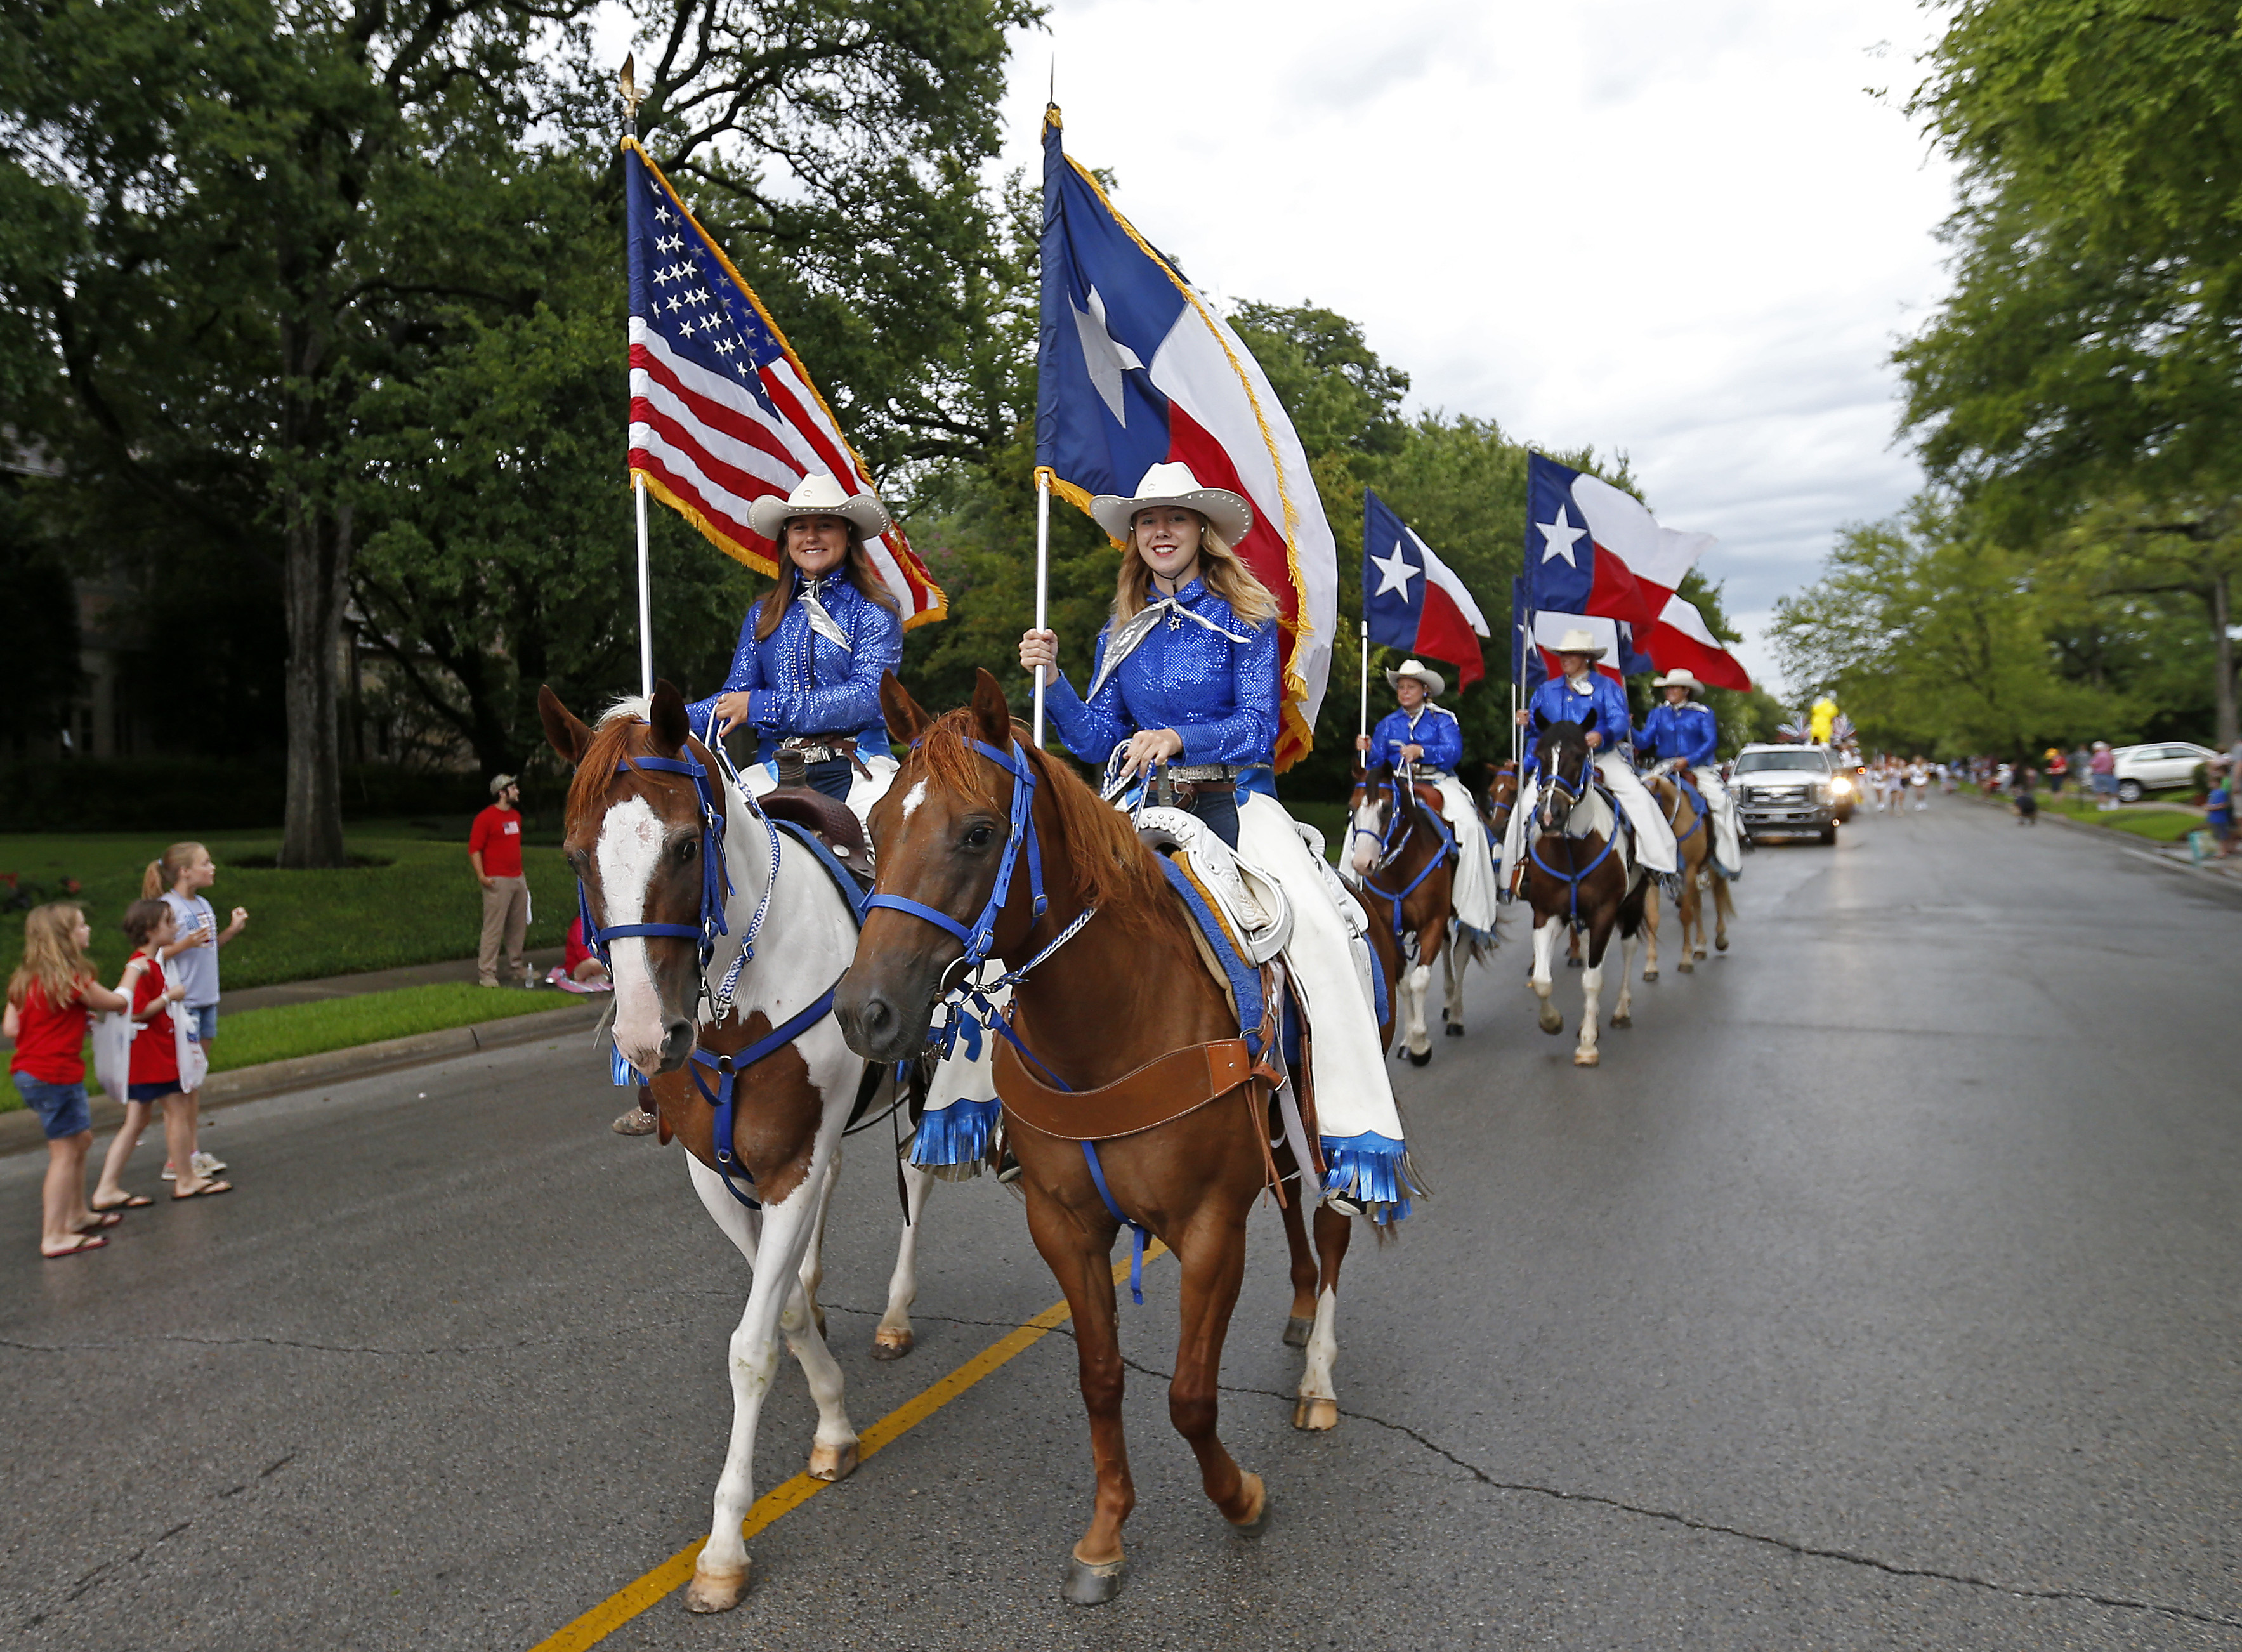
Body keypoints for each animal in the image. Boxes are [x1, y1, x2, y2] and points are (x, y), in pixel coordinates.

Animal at [547, 681, 959, 1613]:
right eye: (576, 857)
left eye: (684, 844)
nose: (643, 1037)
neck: (742, 991)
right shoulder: (719, 1172)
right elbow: (789, 1314)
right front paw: (834, 1416)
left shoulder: (788, 1169)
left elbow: (750, 1346)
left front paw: (725, 1546)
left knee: (919, 1179)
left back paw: (895, 1314)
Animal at [842, 667, 1363, 1596]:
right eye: (877, 825)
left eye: (978, 833)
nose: (865, 1012)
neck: (1113, 1023)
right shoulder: (1066, 1226)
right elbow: (1100, 1379)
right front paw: (1104, 1535)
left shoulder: (1209, 1230)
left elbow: (1188, 1394)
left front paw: (1240, 1499)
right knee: (1293, 1206)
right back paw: (1302, 1311)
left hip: (1318, 1112)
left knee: (1331, 1219)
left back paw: (1317, 1381)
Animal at [1524, 721, 1650, 1071]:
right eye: (1539, 755)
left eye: (1579, 756)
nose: (1550, 816)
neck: (1572, 851)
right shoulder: (1547, 913)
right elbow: (1542, 980)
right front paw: (1552, 1022)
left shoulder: (1605, 913)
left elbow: (1592, 980)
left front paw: (1587, 1046)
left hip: (1633, 903)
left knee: (1629, 947)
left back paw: (1620, 1012)